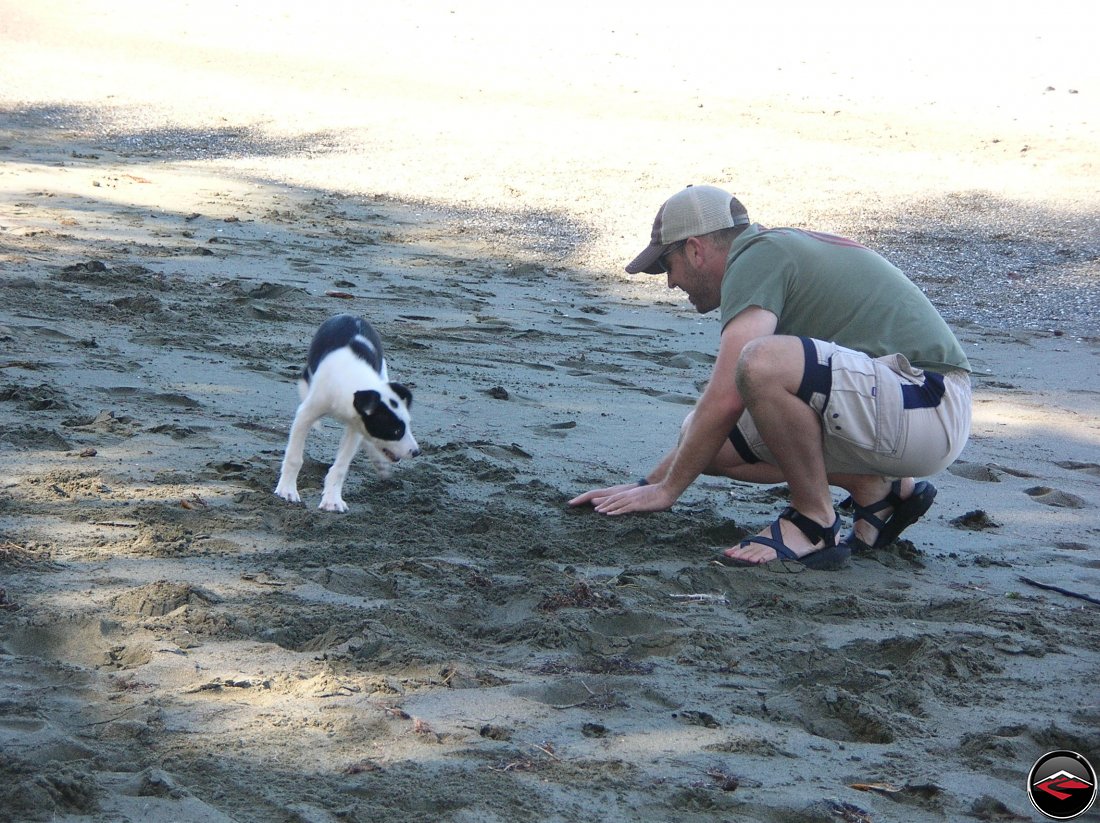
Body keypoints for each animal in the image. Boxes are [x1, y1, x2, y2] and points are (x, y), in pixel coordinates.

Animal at [272, 312, 418, 510]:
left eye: (408, 426)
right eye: (395, 431)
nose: (416, 452)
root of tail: (352, 315)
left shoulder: (356, 427)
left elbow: (341, 466)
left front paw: (332, 500)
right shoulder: (305, 415)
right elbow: (294, 457)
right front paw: (287, 490)